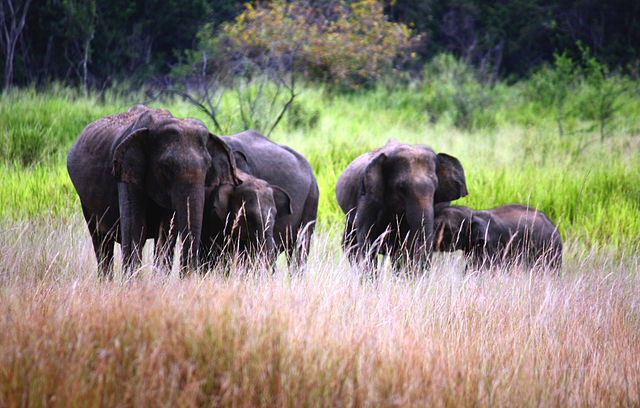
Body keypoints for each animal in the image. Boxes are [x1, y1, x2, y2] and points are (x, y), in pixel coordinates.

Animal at [67, 105, 238, 278]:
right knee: (101, 240)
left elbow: (167, 232)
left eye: (208, 166)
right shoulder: (126, 172)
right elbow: (135, 227)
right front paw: (132, 282)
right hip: (85, 201)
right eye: (166, 167)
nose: (187, 277)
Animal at [335, 138, 468, 269]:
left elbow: (406, 247)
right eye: (401, 187)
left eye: (436, 188)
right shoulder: (367, 198)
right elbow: (367, 241)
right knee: (349, 244)